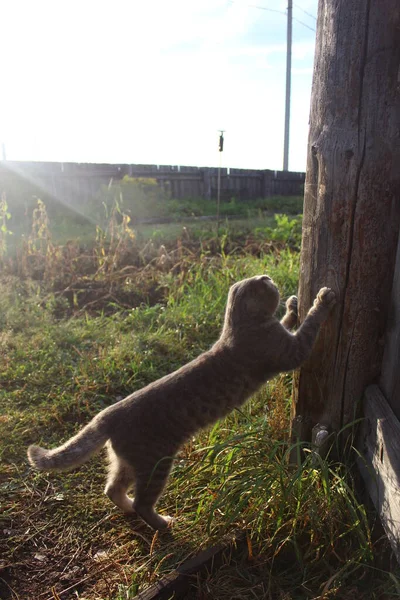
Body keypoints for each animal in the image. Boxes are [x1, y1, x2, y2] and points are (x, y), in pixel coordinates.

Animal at [26, 276, 336, 528]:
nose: (269, 277)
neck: (237, 326)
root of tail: (107, 414)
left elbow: (288, 322)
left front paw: (293, 306)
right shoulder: (291, 351)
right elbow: (309, 325)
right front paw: (320, 300)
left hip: (127, 462)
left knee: (112, 489)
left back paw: (128, 509)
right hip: (156, 463)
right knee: (142, 502)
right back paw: (163, 523)